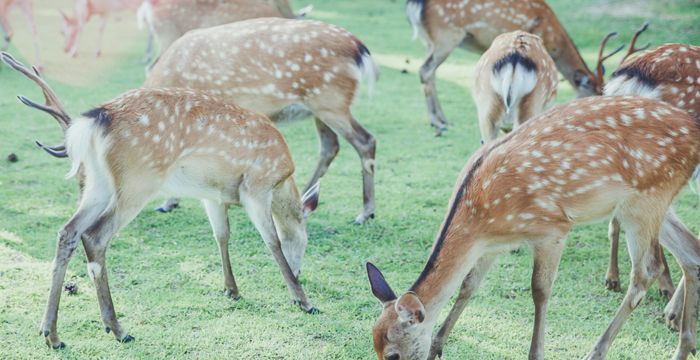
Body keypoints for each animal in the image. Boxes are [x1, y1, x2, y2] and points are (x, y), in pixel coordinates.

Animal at [0, 52, 322, 350]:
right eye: (305, 239)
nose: (299, 271)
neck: (282, 178)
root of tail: (94, 122)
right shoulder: (255, 187)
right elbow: (272, 241)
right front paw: (303, 300)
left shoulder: (213, 195)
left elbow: (221, 235)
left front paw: (232, 289)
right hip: (138, 180)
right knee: (95, 236)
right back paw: (118, 329)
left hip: (96, 183)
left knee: (68, 231)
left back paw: (52, 334)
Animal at [144, 17, 380, 225]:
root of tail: (360, 48)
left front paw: (170, 202)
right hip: (320, 108)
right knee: (330, 146)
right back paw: (305, 197)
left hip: (331, 101)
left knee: (365, 140)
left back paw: (365, 213)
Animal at [364, 93, 700, 360]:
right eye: (374, 347)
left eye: (393, 354)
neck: (479, 220)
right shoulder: (490, 246)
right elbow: (468, 286)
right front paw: (437, 345)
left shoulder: (553, 229)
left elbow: (539, 290)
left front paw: (536, 353)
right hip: (652, 202)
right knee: (691, 252)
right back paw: (683, 348)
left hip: (646, 198)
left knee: (646, 271)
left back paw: (596, 351)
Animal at [404, 0, 616, 136]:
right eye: (595, 94)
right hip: (446, 36)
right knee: (426, 69)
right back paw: (436, 122)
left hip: (429, 41)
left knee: (430, 72)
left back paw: (442, 120)